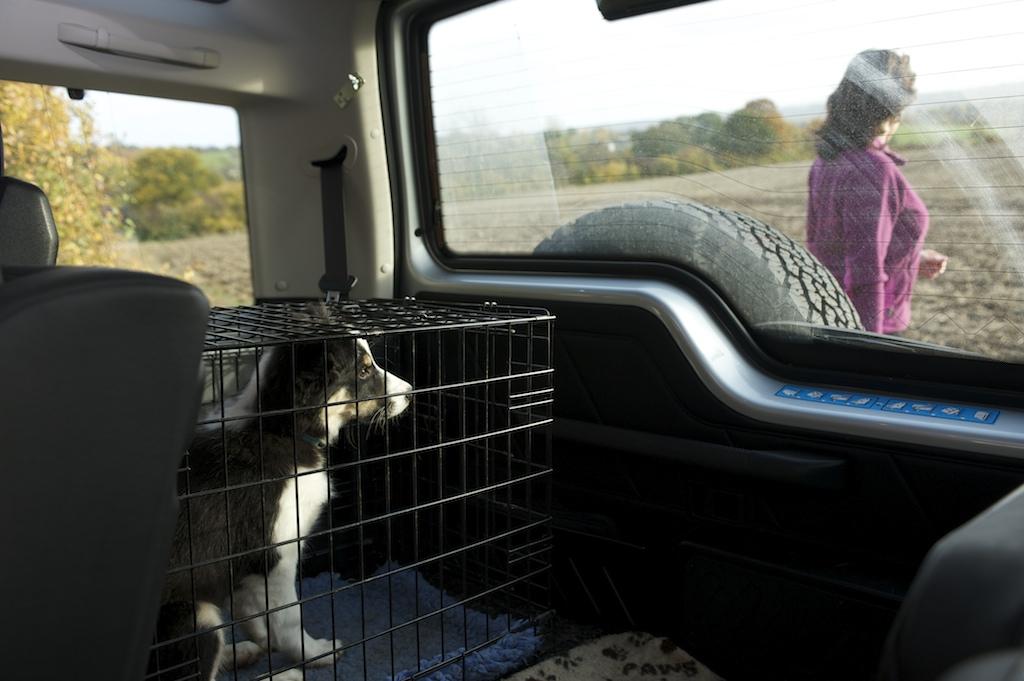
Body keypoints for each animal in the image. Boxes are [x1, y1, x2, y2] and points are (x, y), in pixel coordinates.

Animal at [153, 315, 409, 675]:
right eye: (363, 371)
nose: (411, 393)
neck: (279, 428)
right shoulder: (277, 555)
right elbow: (287, 617)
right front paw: (314, 653)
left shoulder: (243, 565)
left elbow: (251, 611)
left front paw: (265, 640)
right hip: (193, 615)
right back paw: (286, 675)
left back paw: (241, 652)